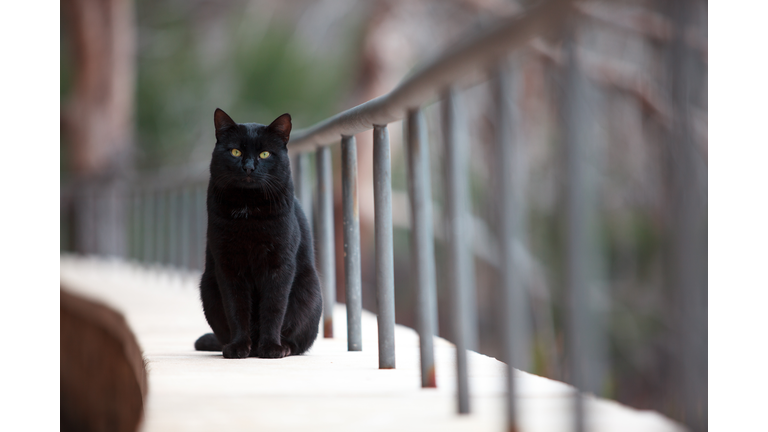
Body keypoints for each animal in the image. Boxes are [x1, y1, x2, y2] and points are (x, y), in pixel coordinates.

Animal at [195, 109, 324, 360]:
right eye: (235, 151)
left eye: (265, 154)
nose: (248, 167)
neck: (249, 209)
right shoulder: (228, 265)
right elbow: (236, 308)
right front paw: (237, 347)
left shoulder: (279, 264)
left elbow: (274, 307)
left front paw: (271, 347)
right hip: (207, 287)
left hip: (310, 290)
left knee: (298, 340)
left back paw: (282, 347)